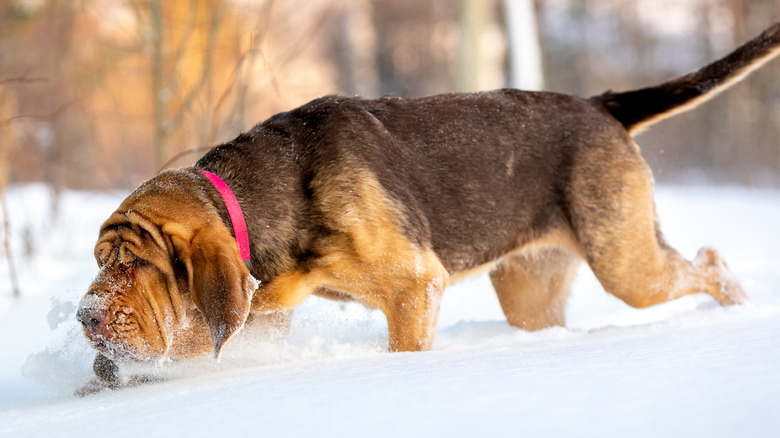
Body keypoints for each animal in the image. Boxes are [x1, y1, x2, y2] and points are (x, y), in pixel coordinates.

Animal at [76, 23, 776, 386]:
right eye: (101, 260)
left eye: (135, 263)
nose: (85, 315)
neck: (258, 201)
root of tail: (602, 105)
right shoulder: (264, 311)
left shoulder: (415, 287)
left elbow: (404, 349)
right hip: (532, 292)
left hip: (627, 265)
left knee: (709, 262)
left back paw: (739, 306)